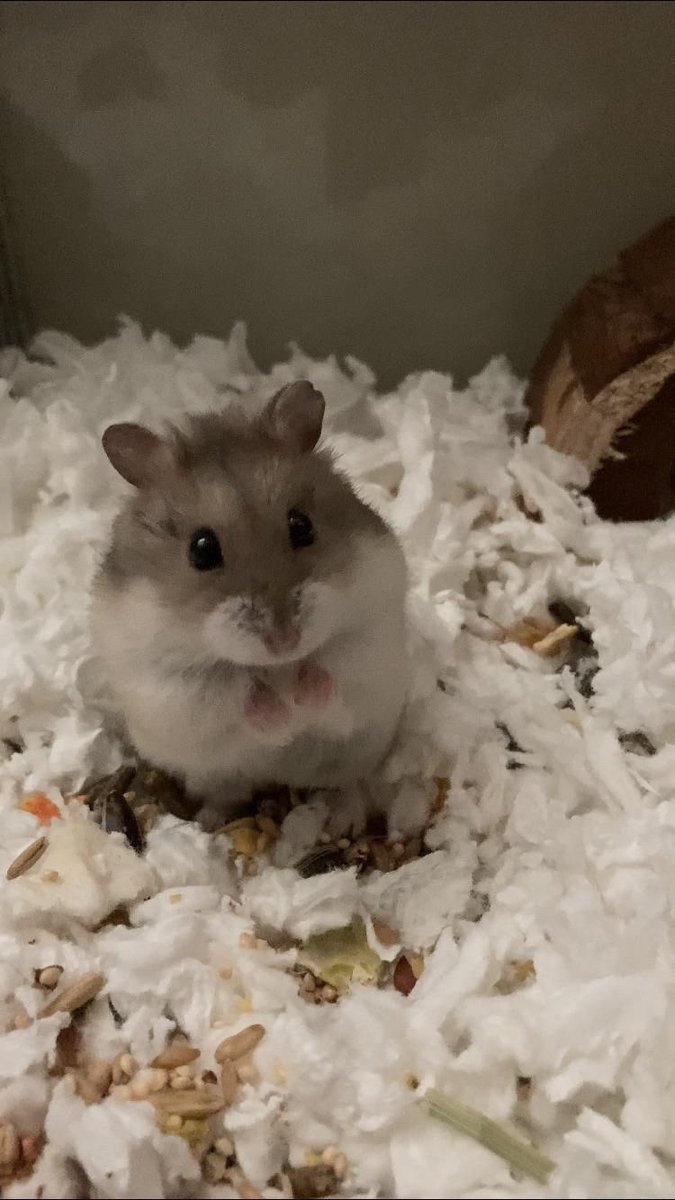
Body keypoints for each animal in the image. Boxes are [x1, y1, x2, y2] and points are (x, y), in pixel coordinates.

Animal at [90, 381, 409, 825]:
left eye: (302, 525)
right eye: (202, 549)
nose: (284, 641)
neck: (277, 669)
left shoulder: (370, 641)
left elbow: (332, 674)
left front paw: (303, 701)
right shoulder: (174, 688)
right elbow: (237, 699)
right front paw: (284, 721)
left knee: (348, 783)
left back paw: (343, 816)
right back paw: (210, 821)